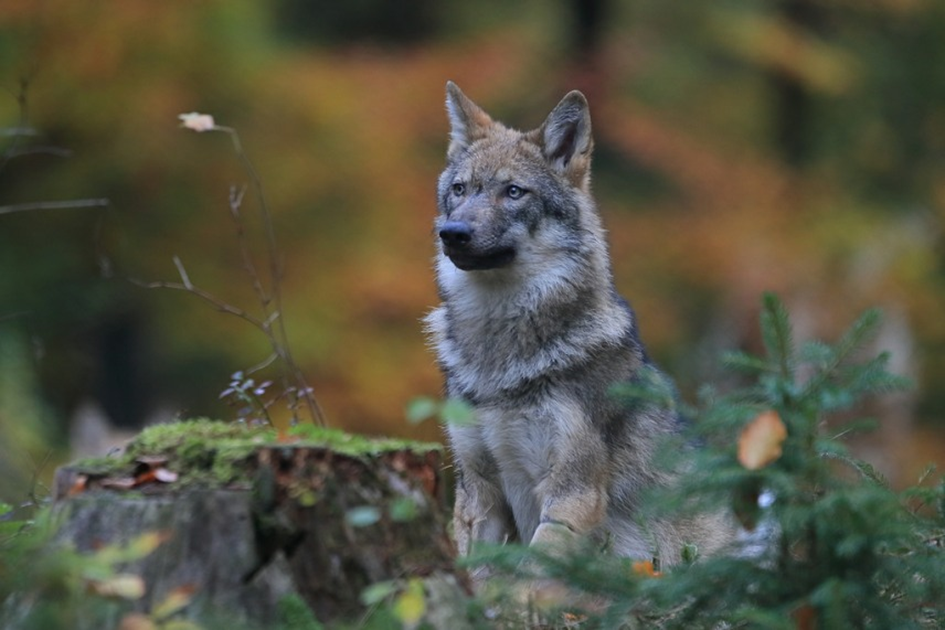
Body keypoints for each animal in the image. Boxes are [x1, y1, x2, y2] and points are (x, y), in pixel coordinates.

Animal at [424, 82, 728, 572]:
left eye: (514, 191)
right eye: (459, 189)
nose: (452, 232)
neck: (499, 355)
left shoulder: (572, 496)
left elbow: (527, 578)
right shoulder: (479, 496)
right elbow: (477, 578)